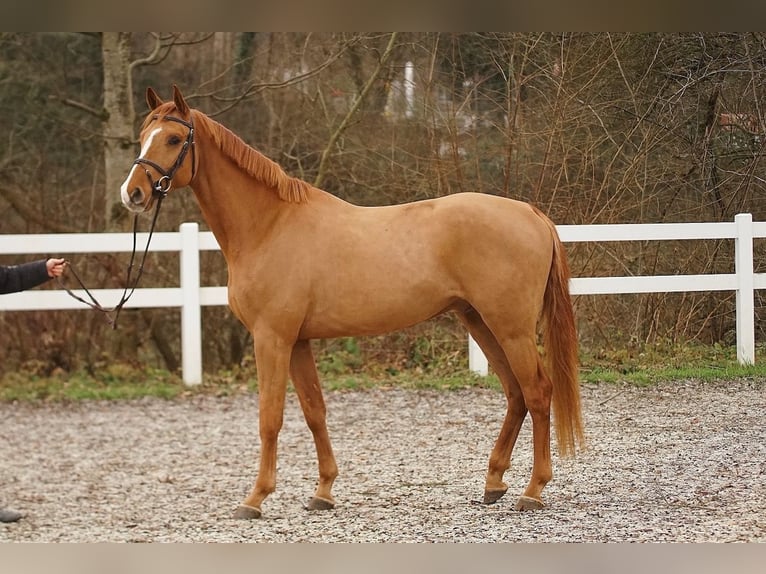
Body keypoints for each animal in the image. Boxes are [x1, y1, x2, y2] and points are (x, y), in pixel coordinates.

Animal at [120, 85, 584, 519]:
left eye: (174, 139)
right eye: (143, 135)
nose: (133, 194)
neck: (269, 225)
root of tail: (531, 214)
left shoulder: (272, 338)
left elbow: (270, 417)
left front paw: (255, 498)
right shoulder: (298, 341)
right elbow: (314, 411)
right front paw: (323, 492)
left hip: (511, 327)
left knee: (538, 392)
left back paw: (533, 491)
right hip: (480, 321)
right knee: (515, 394)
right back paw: (494, 482)